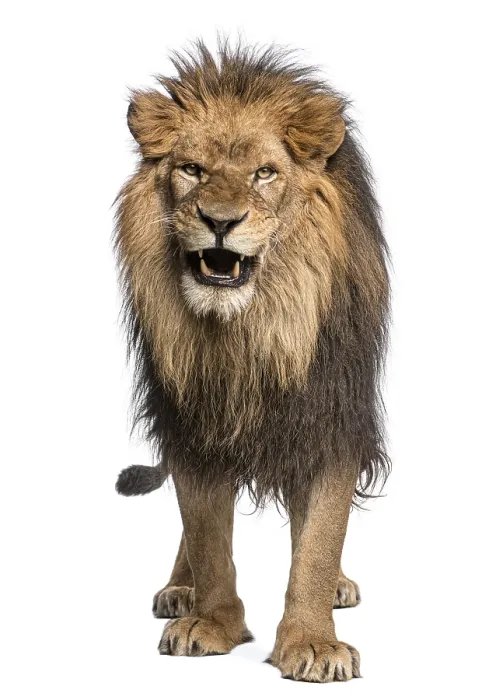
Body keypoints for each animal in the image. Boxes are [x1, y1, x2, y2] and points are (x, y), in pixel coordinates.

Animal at [114, 40, 390, 683]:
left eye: (265, 173)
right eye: (192, 169)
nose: (220, 222)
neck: (251, 331)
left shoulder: (331, 418)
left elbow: (319, 539)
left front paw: (313, 640)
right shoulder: (191, 421)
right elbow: (206, 533)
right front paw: (212, 623)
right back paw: (180, 590)